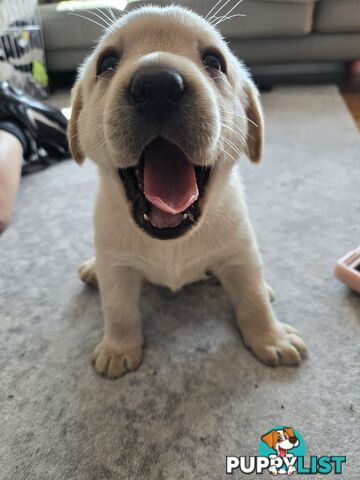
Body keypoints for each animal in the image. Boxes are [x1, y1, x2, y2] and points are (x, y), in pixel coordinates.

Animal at [68, 4, 306, 378]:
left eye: (213, 61)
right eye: (106, 63)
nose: (157, 85)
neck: (171, 241)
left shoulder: (241, 252)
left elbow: (252, 298)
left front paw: (272, 337)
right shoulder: (116, 264)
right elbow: (119, 310)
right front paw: (118, 348)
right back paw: (93, 269)